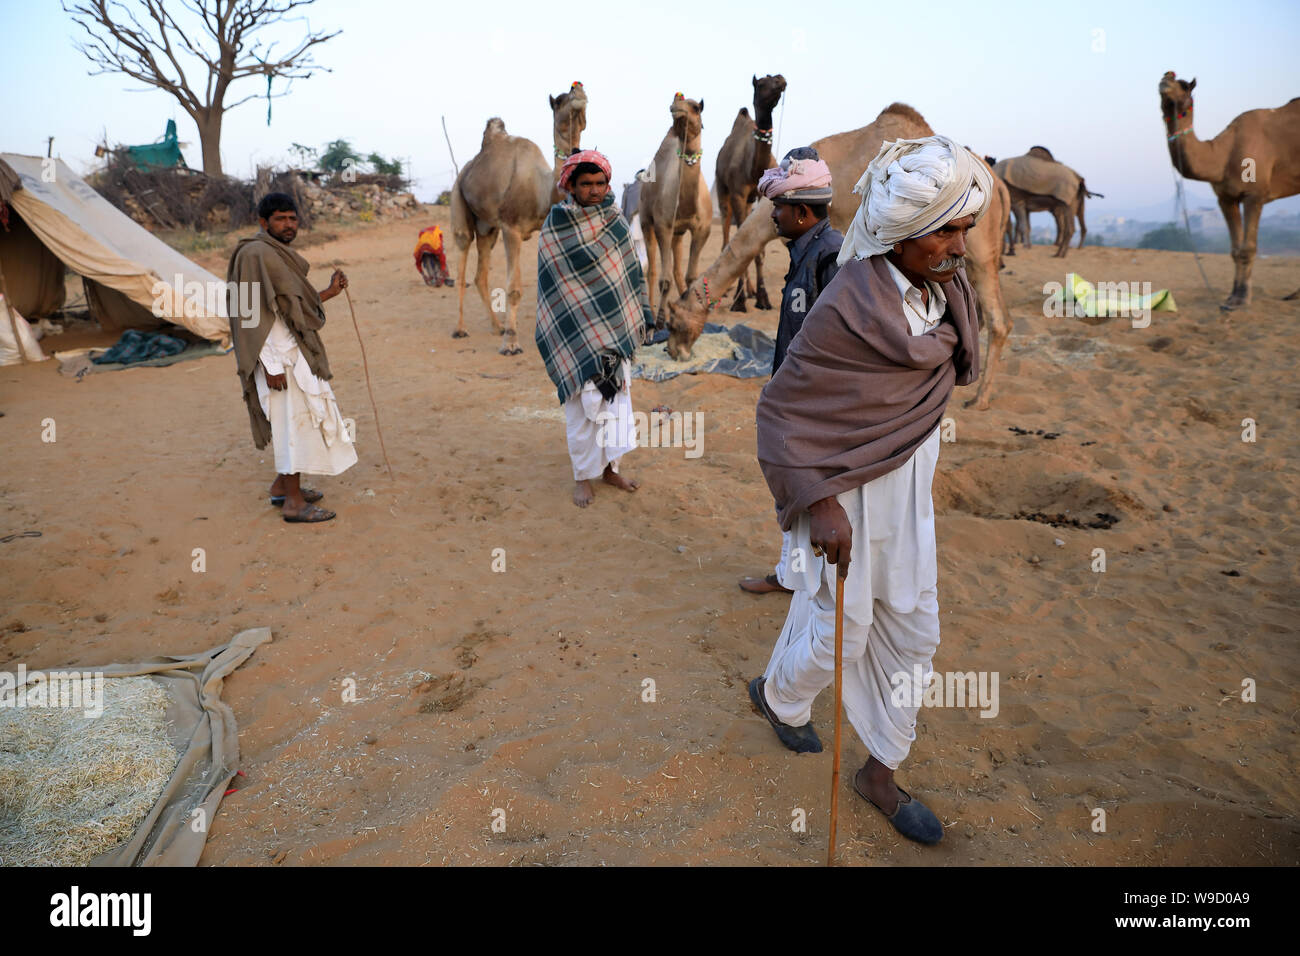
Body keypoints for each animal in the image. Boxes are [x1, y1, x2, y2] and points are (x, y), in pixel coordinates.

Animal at [449, 119, 551, 356]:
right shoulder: (511, 228)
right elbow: (513, 289)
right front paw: (511, 344)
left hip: (488, 228)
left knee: (480, 274)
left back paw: (497, 326)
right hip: (458, 196)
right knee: (463, 249)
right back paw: (461, 329)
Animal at [637, 94, 712, 325]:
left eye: (696, 107)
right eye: (675, 103)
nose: (676, 107)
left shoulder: (702, 229)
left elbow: (691, 276)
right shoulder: (663, 226)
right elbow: (664, 279)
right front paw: (661, 319)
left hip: (678, 233)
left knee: (678, 269)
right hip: (645, 220)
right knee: (652, 271)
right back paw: (653, 314)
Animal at [660, 104, 1013, 411]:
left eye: (675, 322)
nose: (673, 350)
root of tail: (1000, 188)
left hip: (977, 250)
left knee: (997, 320)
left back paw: (979, 399)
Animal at [717, 76, 785, 314]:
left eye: (775, 77)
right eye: (762, 83)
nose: (781, 80)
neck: (754, 169)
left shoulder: (763, 196)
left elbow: (758, 250)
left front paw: (762, 298)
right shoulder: (737, 194)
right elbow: (738, 246)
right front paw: (739, 302)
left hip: (748, 202)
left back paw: (750, 290)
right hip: (723, 192)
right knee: (726, 234)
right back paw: (733, 292)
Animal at [1159, 71, 1300, 310]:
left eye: (1185, 85)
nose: (1166, 76)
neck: (1224, 153)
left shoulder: (1255, 195)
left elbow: (1247, 248)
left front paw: (1242, 299)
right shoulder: (1225, 198)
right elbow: (1234, 250)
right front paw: (1231, 298)